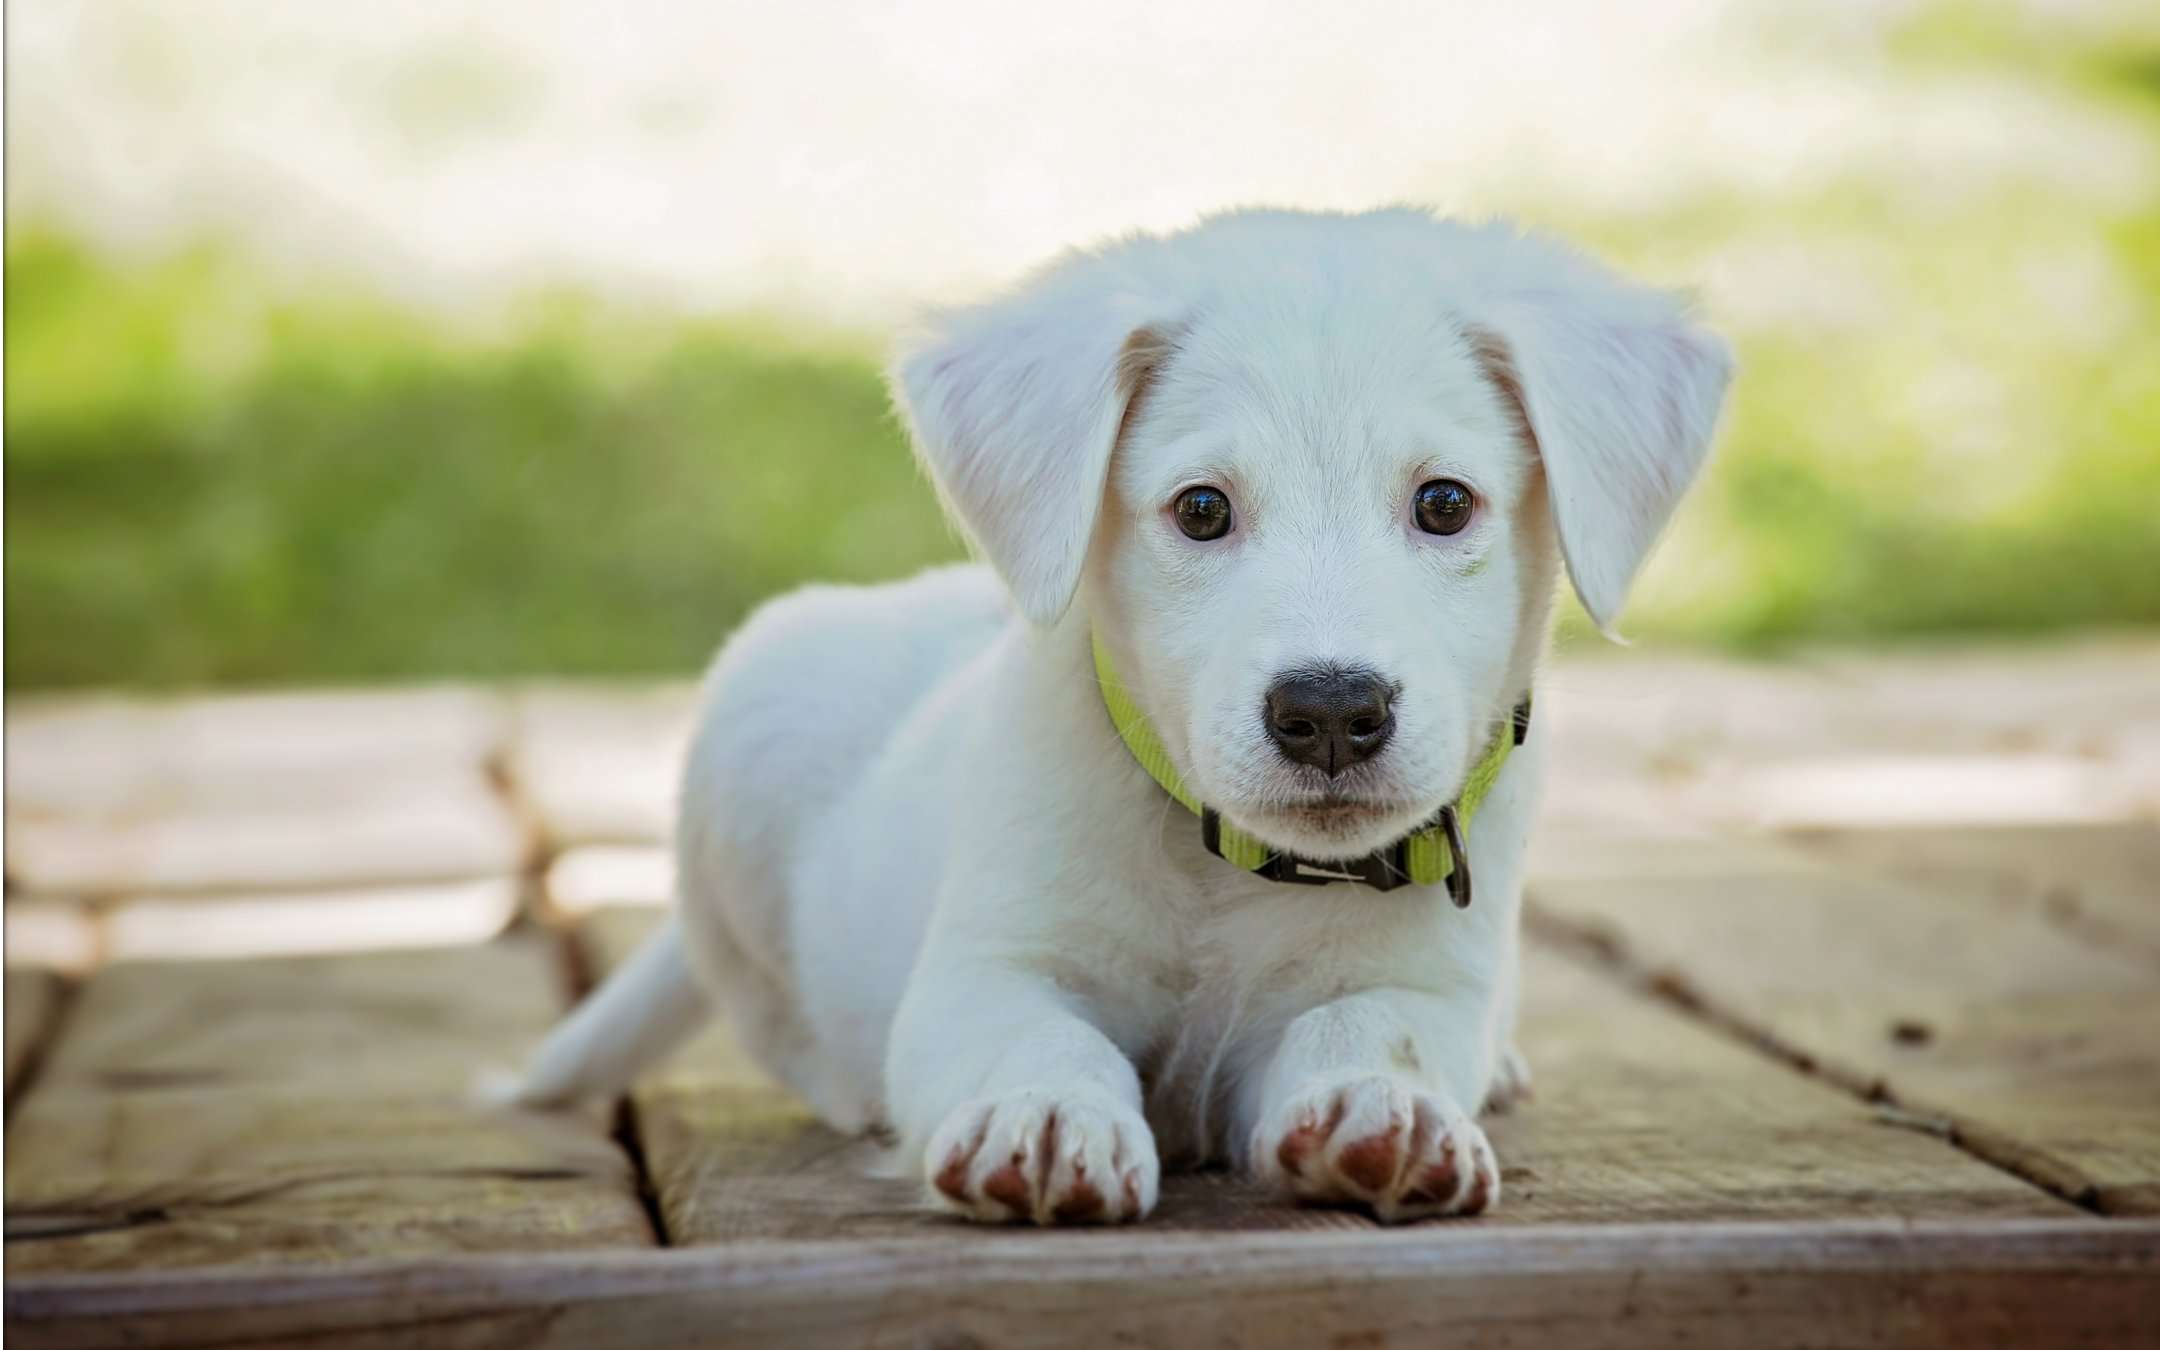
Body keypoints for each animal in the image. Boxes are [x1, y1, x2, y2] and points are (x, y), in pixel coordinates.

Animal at [509, 208, 1736, 1218]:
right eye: (1200, 510)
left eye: (1445, 503)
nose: (1331, 712)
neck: (1229, 872)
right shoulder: (987, 970)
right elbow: (1038, 1037)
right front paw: (1046, 1116)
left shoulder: (1425, 984)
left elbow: (1371, 1027)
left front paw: (1380, 1109)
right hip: (748, 739)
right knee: (777, 1021)